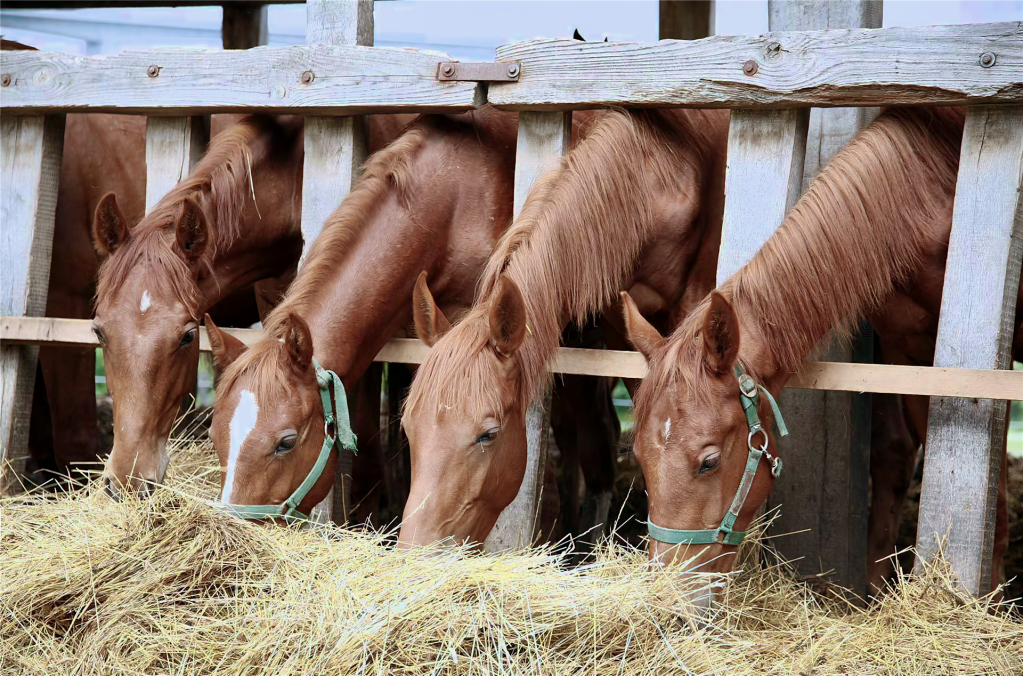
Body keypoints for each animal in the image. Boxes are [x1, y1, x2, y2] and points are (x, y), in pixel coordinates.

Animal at [621, 107, 1017, 593]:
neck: (936, 180)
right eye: (639, 457)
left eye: (709, 462)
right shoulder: (912, 355)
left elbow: (996, 515)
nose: (670, 592)